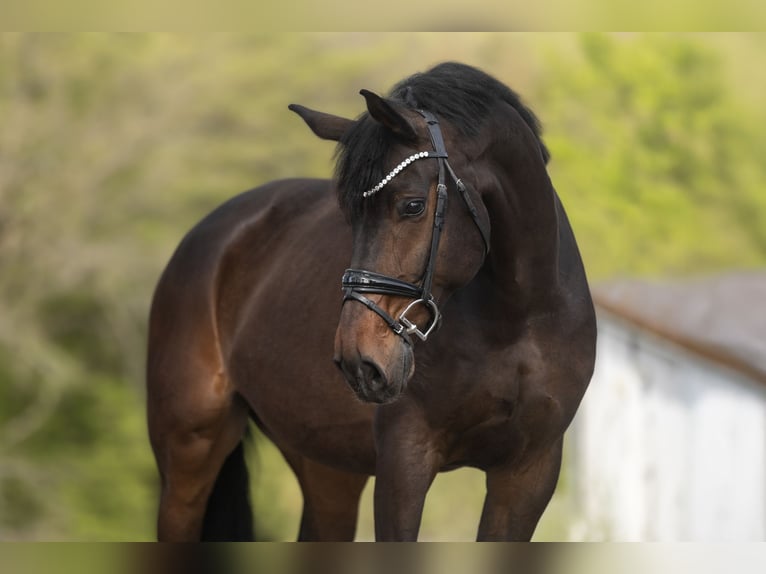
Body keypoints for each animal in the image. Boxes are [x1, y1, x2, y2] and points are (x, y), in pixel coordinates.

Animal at [146, 62, 597, 541]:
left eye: (413, 205)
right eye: (349, 214)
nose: (358, 360)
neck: (516, 321)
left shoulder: (527, 473)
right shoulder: (404, 462)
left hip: (327, 468)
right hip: (188, 457)